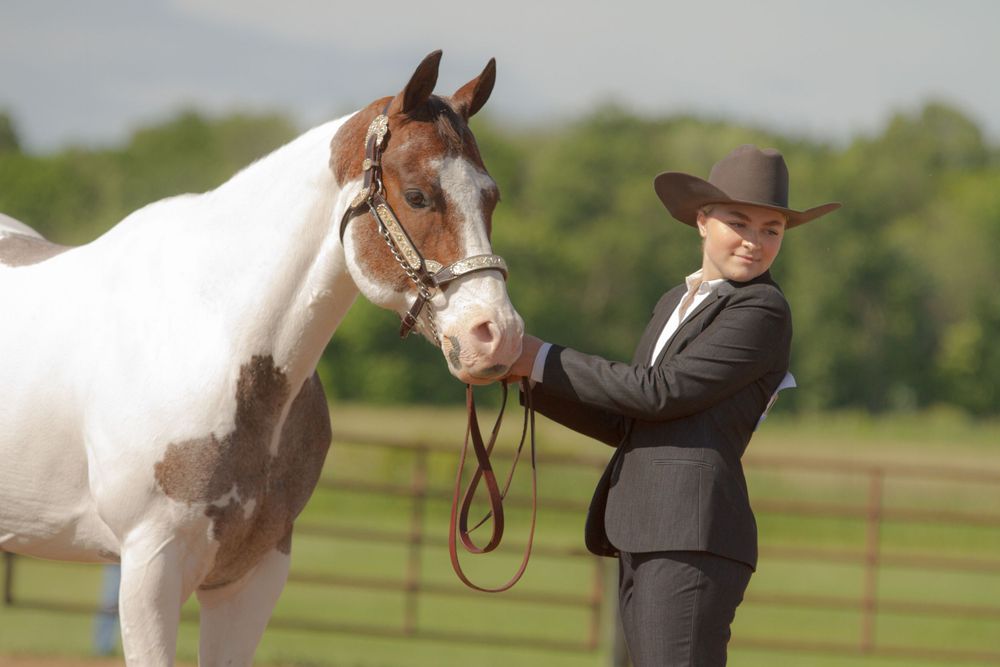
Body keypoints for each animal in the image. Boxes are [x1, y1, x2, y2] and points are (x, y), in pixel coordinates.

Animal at [0, 51, 523, 665]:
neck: (216, 342)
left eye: (490, 197)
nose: (497, 336)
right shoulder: (149, 568)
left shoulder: (253, 573)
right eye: (417, 195)